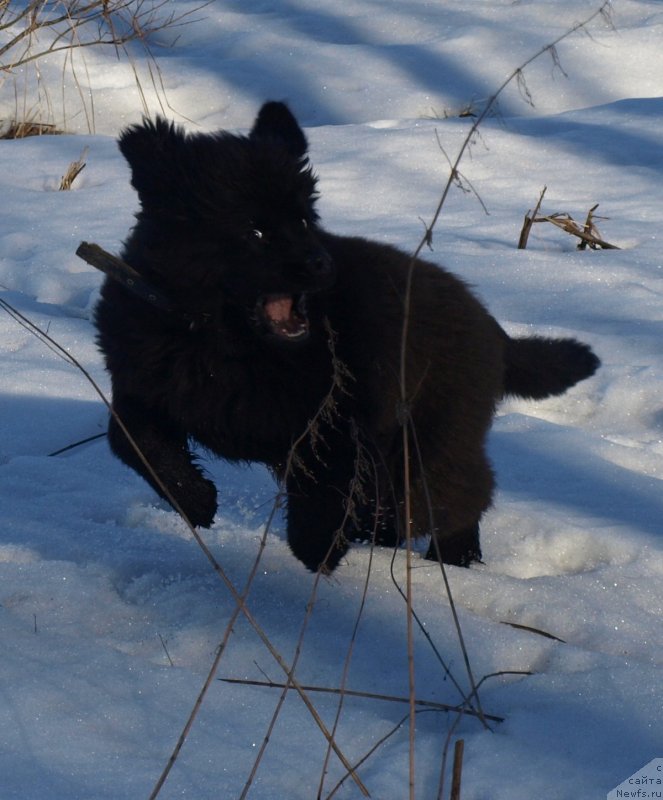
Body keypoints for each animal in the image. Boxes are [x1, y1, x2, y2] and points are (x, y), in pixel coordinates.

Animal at [94, 103, 600, 572]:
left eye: (303, 220)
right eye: (254, 230)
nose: (321, 264)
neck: (220, 340)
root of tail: (493, 328)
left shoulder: (336, 417)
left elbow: (327, 483)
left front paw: (319, 547)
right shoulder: (145, 381)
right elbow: (130, 438)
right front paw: (195, 497)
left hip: (431, 439)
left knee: (457, 495)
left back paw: (453, 558)